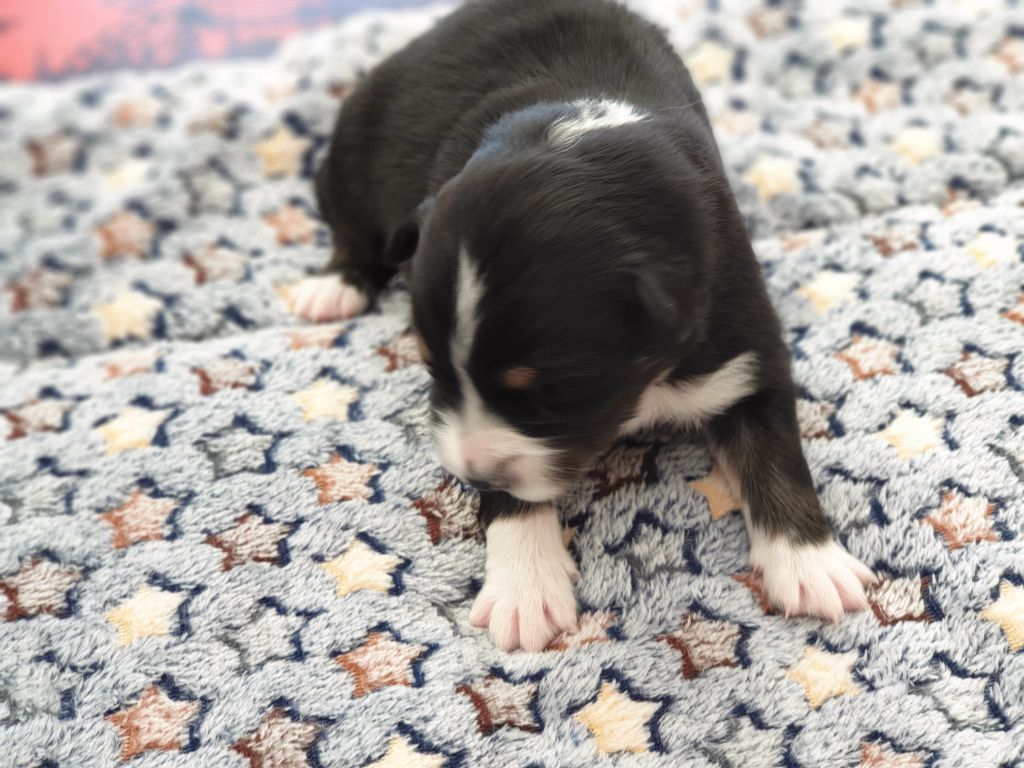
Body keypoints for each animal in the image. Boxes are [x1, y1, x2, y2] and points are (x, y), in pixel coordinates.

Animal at [293, 0, 877, 651]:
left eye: (552, 393)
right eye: (430, 367)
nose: (469, 473)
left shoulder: (746, 346)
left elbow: (777, 460)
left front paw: (811, 566)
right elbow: (512, 493)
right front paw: (524, 589)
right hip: (355, 161)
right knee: (352, 232)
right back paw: (330, 289)